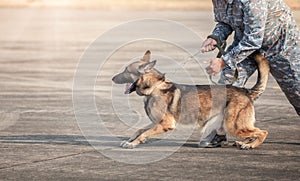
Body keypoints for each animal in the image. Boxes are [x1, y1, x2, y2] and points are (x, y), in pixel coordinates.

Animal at [112, 50, 270, 149]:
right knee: (253, 132)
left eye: (126, 71)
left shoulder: (166, 124)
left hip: (233, 126)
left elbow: (144, 133)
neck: (155, 87)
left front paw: (132, 144)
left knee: (262, 132)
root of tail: (246, 91)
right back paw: (242, 142)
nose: (112, 78)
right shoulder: (156, 122)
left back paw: (250, 145)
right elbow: (139, 130)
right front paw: (130, 140)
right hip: (232, 125)